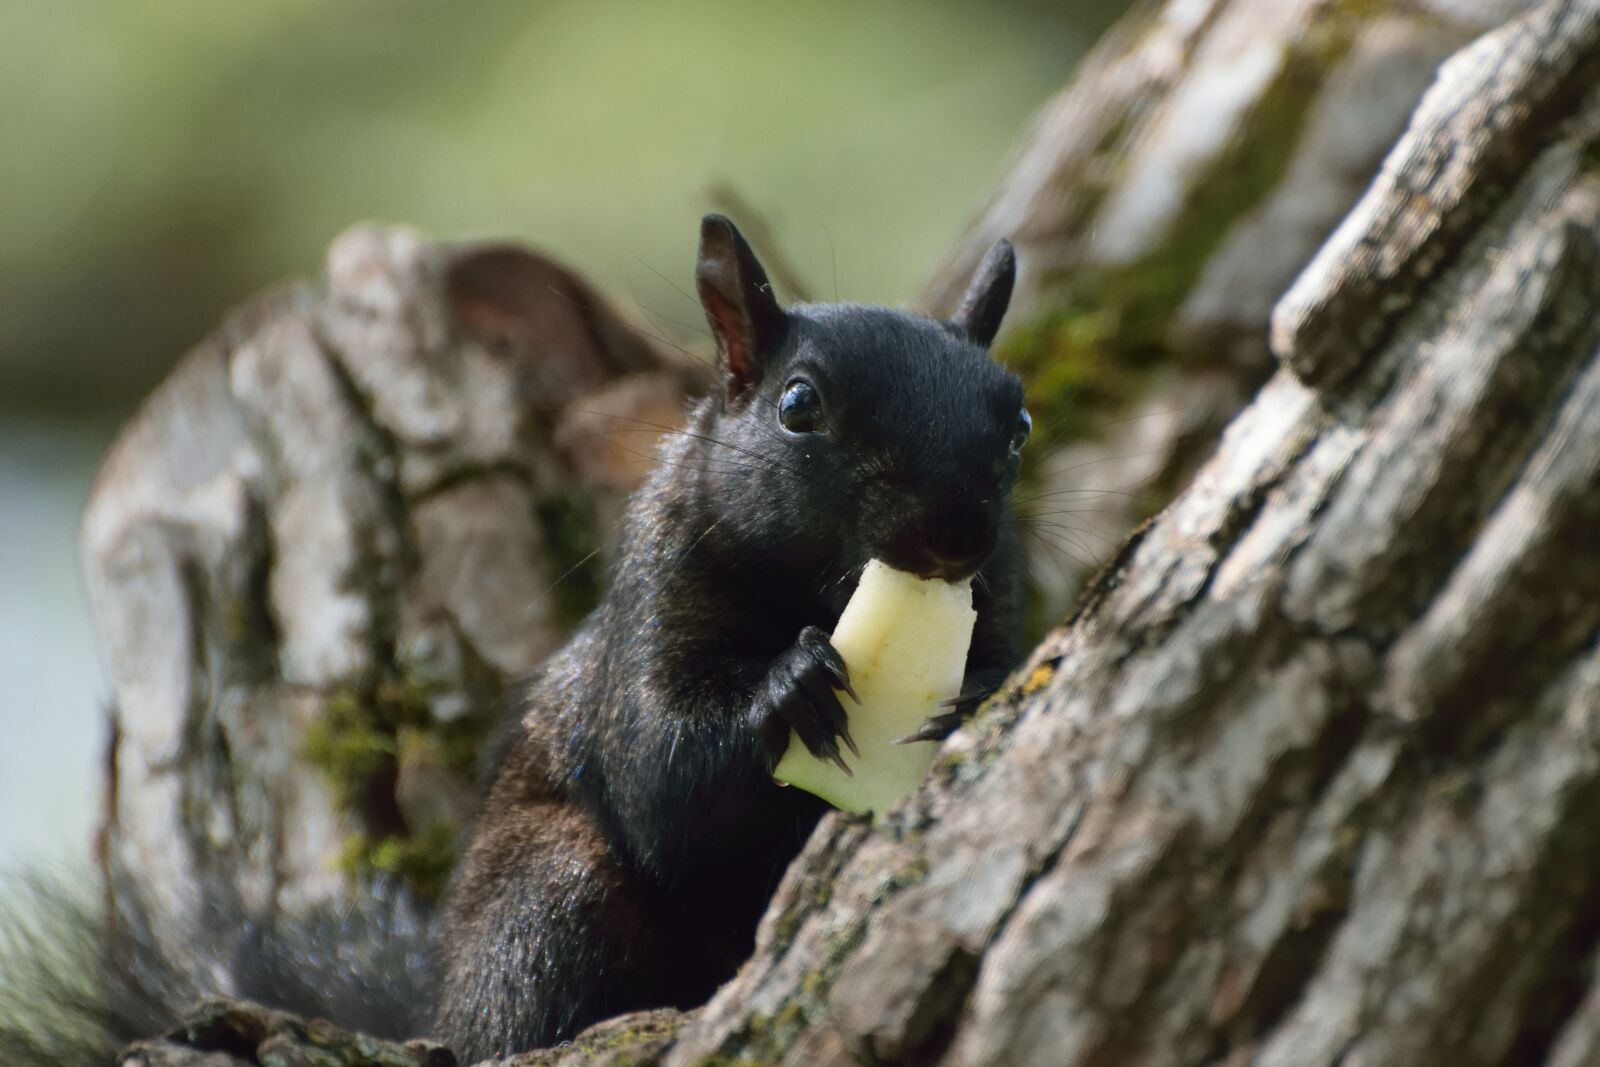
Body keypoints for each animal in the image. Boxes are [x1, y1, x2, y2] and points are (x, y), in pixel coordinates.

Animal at [431, 215, 1029, 1061]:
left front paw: (979, 691)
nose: (954, 535)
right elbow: (661, 774)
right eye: (798, 405)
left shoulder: (998, 591)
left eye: (1020, 425)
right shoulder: (654, 603)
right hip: (543, 894)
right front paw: (789, 683)